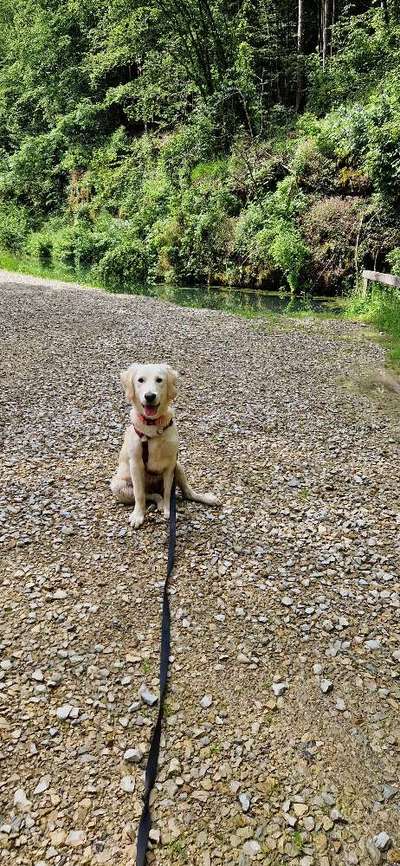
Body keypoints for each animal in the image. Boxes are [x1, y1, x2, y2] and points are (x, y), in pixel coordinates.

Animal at [111, 360, 220, 528]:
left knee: (187, 492)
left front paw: (169, 511)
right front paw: (138, 516)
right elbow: (139, 494)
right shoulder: (136, 464)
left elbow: (169, 491)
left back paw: (205, 498)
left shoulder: (170, 465)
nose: (150, 396)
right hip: (119, 486)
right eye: (140, 380)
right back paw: (158, 502)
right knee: (151, 495)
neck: (153, 425)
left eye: (159, 380)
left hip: (179, 467)